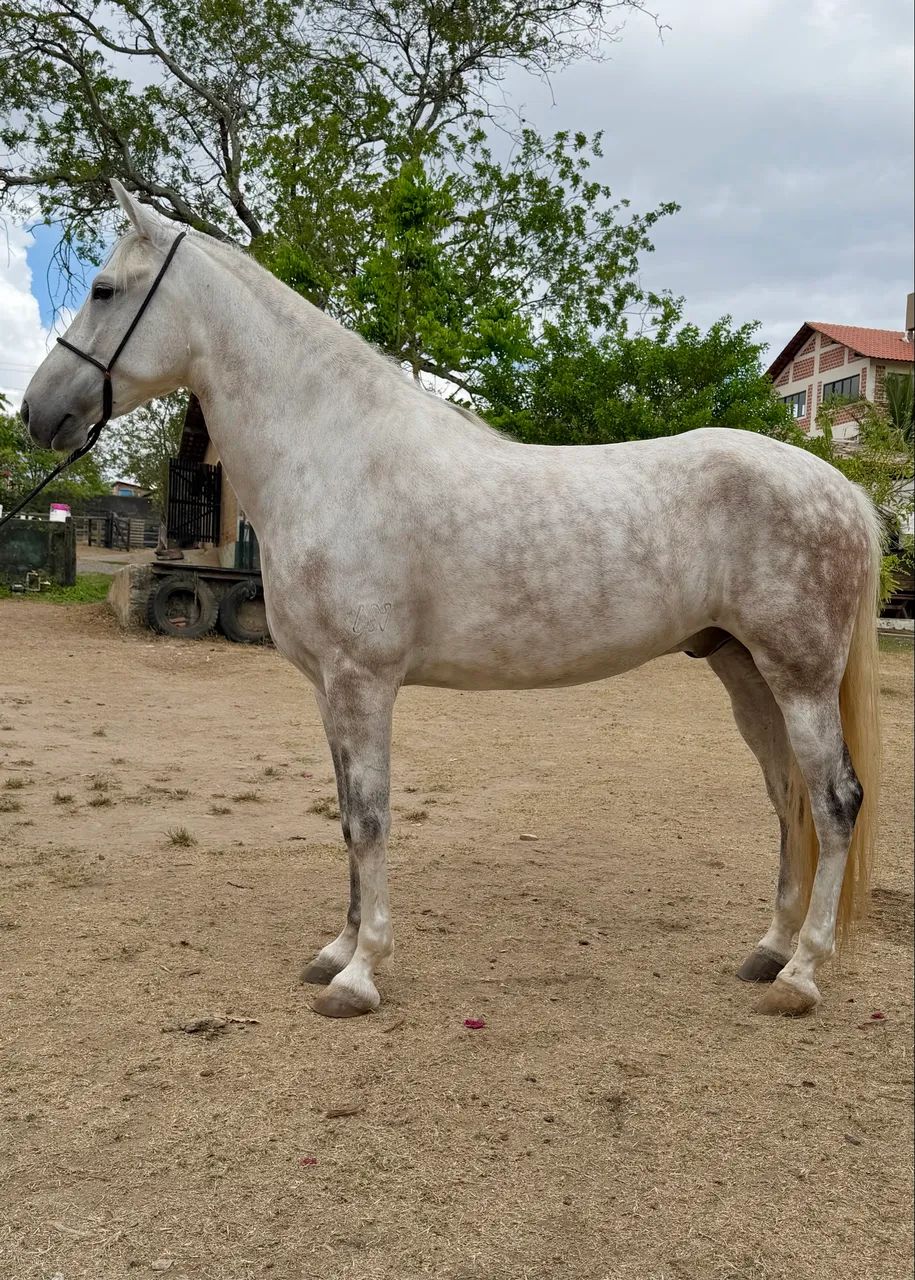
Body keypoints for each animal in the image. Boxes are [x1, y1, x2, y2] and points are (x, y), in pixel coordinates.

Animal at [20, 180, 881, 1020]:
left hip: (799, 678)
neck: (335, 456)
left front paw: (360, 975)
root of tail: (839, 489)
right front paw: (336, 950)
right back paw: (768, 950)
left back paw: (801, 975)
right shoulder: (331, 688)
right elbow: (345, 815)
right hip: (743, 670)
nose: (37, 412)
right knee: (787, 798)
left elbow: (370, 818)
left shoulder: (363, 681)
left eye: (103, 289)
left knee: (834, 802)